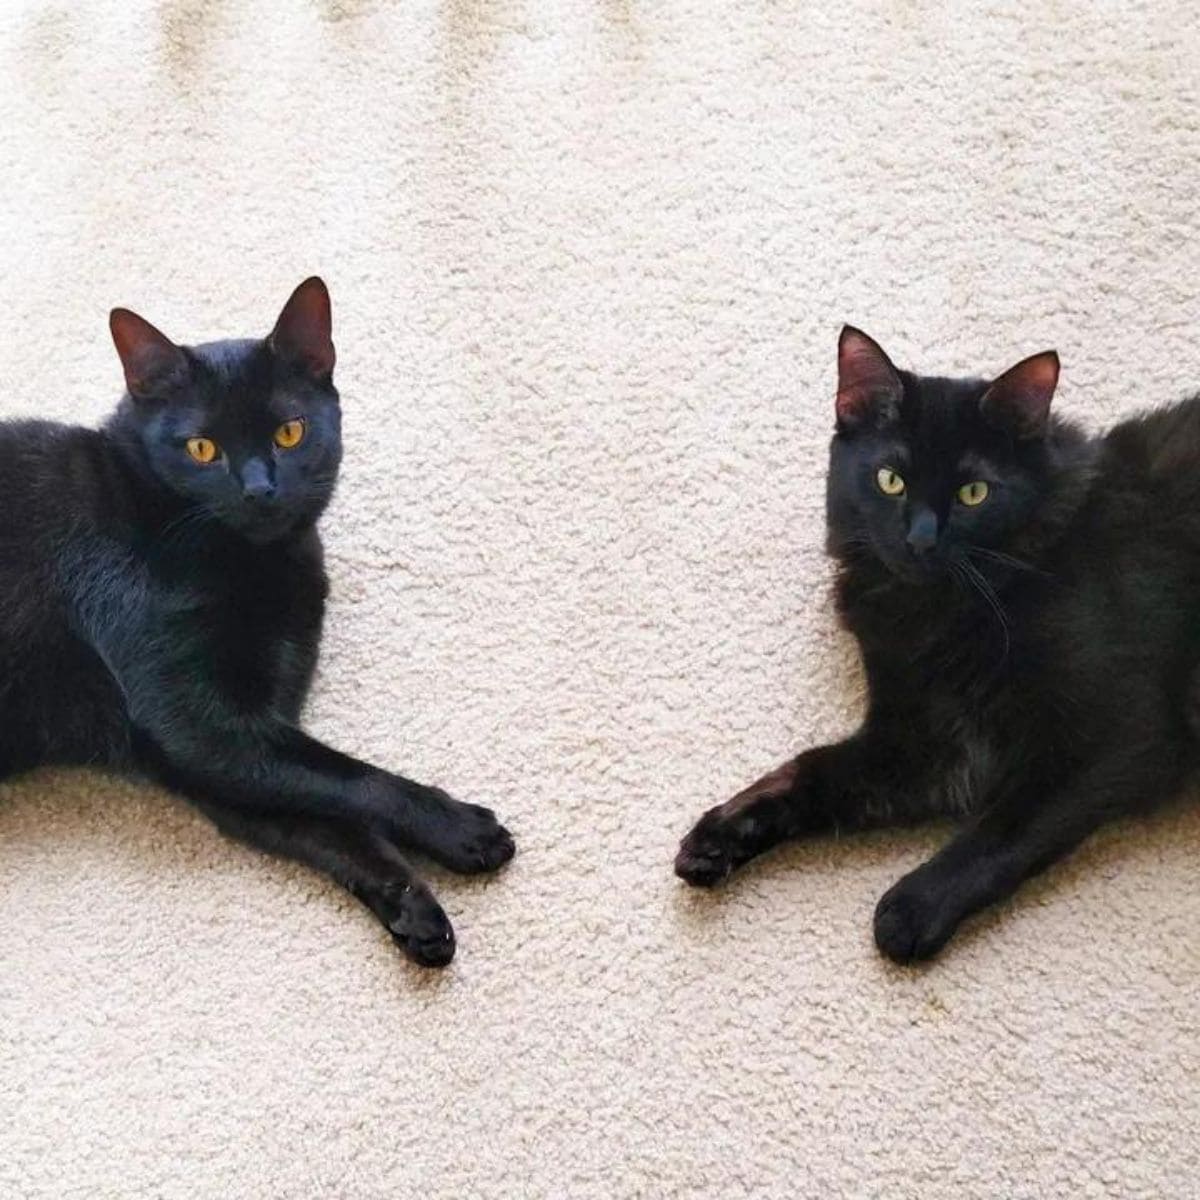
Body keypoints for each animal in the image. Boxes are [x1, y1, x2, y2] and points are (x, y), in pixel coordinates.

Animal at [0, 278, 511, 964]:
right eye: (202, 448)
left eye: (290, 433)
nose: (259, 489)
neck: (264, 563)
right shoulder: (202, 728)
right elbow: (356, 780)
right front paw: (459, 829)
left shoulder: (213, 759)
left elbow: (333, 824)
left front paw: (414, 910)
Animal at [681, 324, 1200, 960]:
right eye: (890, 480)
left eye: (974, 492)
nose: (921, 539)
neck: (938, 613)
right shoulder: (926, 743)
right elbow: (812, 771)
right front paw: (720, 833)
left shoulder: (1118, 732)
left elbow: (1005, 827)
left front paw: (911, 909)